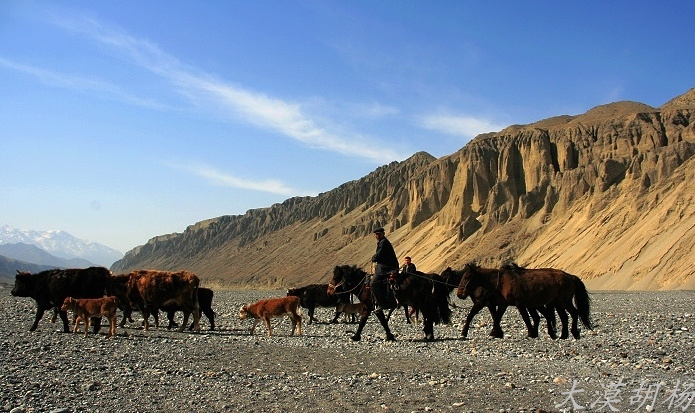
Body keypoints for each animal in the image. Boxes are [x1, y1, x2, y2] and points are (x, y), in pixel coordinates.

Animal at [456, 264, 592, 338]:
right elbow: (497, 316)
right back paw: (563, 335)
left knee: (573, 313)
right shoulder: (503, 304)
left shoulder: (519, 303)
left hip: (564, 301)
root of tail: (570, 276)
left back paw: (573, 333)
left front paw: (531, 333)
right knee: (563, 317)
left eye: (467, 277)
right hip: (557, 303)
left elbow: (525, 317)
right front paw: (496, 333)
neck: (500, 281)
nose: (459, 294)